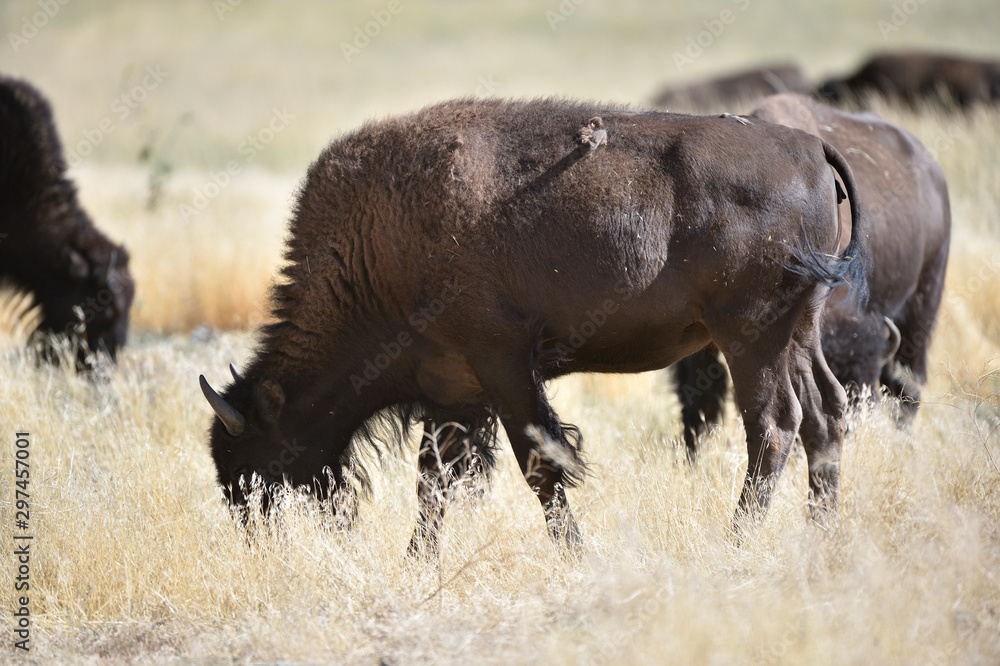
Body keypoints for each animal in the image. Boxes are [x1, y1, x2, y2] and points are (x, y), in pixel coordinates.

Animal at [199, 98, 867, 552]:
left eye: (256, 456)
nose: (253, 532)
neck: (376, 248)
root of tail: (809, 149)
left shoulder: (503, 367)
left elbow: (538, 462)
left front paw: (575, 554)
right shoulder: (452, 388)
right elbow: (433, 480)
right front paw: (418, 561)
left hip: (749, 335)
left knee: (774, 425)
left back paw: (736, 541)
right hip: (798, 331)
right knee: (826, 412)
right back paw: (820, 533)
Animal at [675, 93, 950, 459]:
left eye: (864, 386)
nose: (847, 430)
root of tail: (934, 174)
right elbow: (699, 402)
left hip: (924, 306)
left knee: (911, 387)